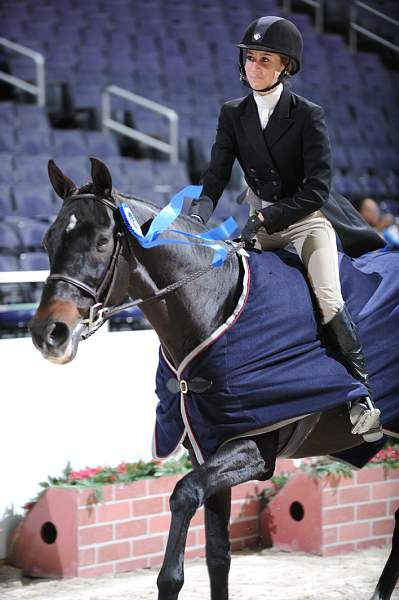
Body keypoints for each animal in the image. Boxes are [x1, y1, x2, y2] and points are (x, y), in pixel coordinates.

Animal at [29, 159, 398, 600]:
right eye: (48, 240)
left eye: (102, 242)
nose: (49, 333)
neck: (211, 306)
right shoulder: (207, 448)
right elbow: (218, 556)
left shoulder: (254, 450)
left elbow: (183, 496)